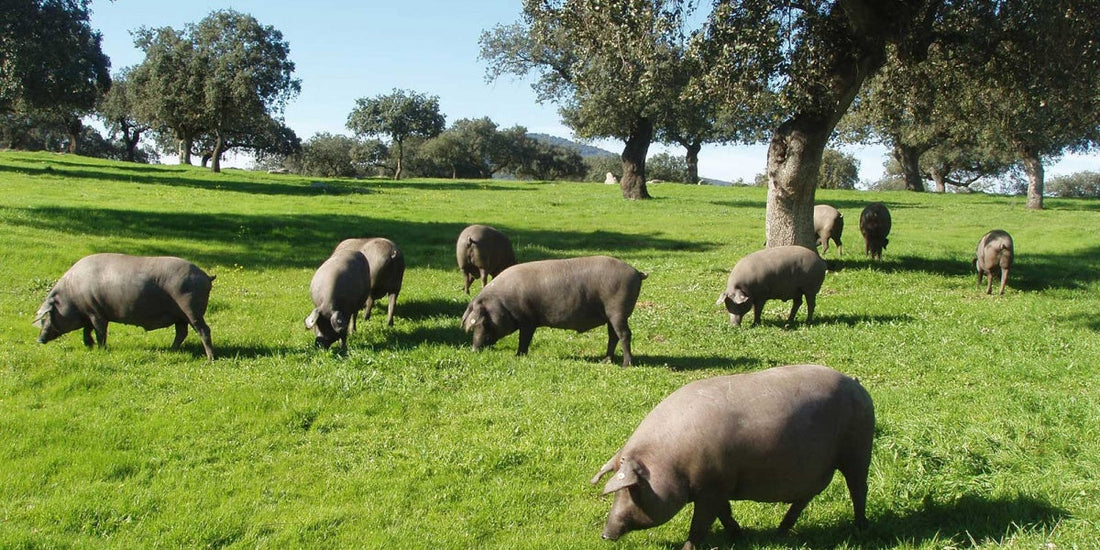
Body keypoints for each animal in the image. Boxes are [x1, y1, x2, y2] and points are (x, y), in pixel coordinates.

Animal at [32, 253, 216, 360]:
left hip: (191, 308)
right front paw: (89, 345)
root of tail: (206, 276)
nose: (39, 340)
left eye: (48, 315)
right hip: (180, 316)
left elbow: (99, 331)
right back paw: (171, 350)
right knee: (181, 332)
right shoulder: (90, 313)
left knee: (204, 330)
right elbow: (87, 330)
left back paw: (210, 359)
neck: (71, 297)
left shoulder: (96, 312)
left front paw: (101, 349)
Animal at [460, 255, 646, 367]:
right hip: (610, 316)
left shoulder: (528, 321)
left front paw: (517, 356)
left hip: (618, 311)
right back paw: (605, 361)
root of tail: (636, 272)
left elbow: (524, 340)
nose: (474, 350)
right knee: (613, 336)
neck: (504, 302)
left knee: (625, 334)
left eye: (484, 321)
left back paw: (626, 365)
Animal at [592, 364, 874, 550]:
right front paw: (739, 537)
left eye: (632, 490)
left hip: (858, 450)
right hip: (820, 469)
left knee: (858, 489)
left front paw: (688, 548)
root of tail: (856, 383)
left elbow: (701, 524)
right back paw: (780, 532)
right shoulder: (718, 487)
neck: (671, 464)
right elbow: (724, 513)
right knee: (805, 498)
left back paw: (860, 528)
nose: (605, 535)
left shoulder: (712, 488)